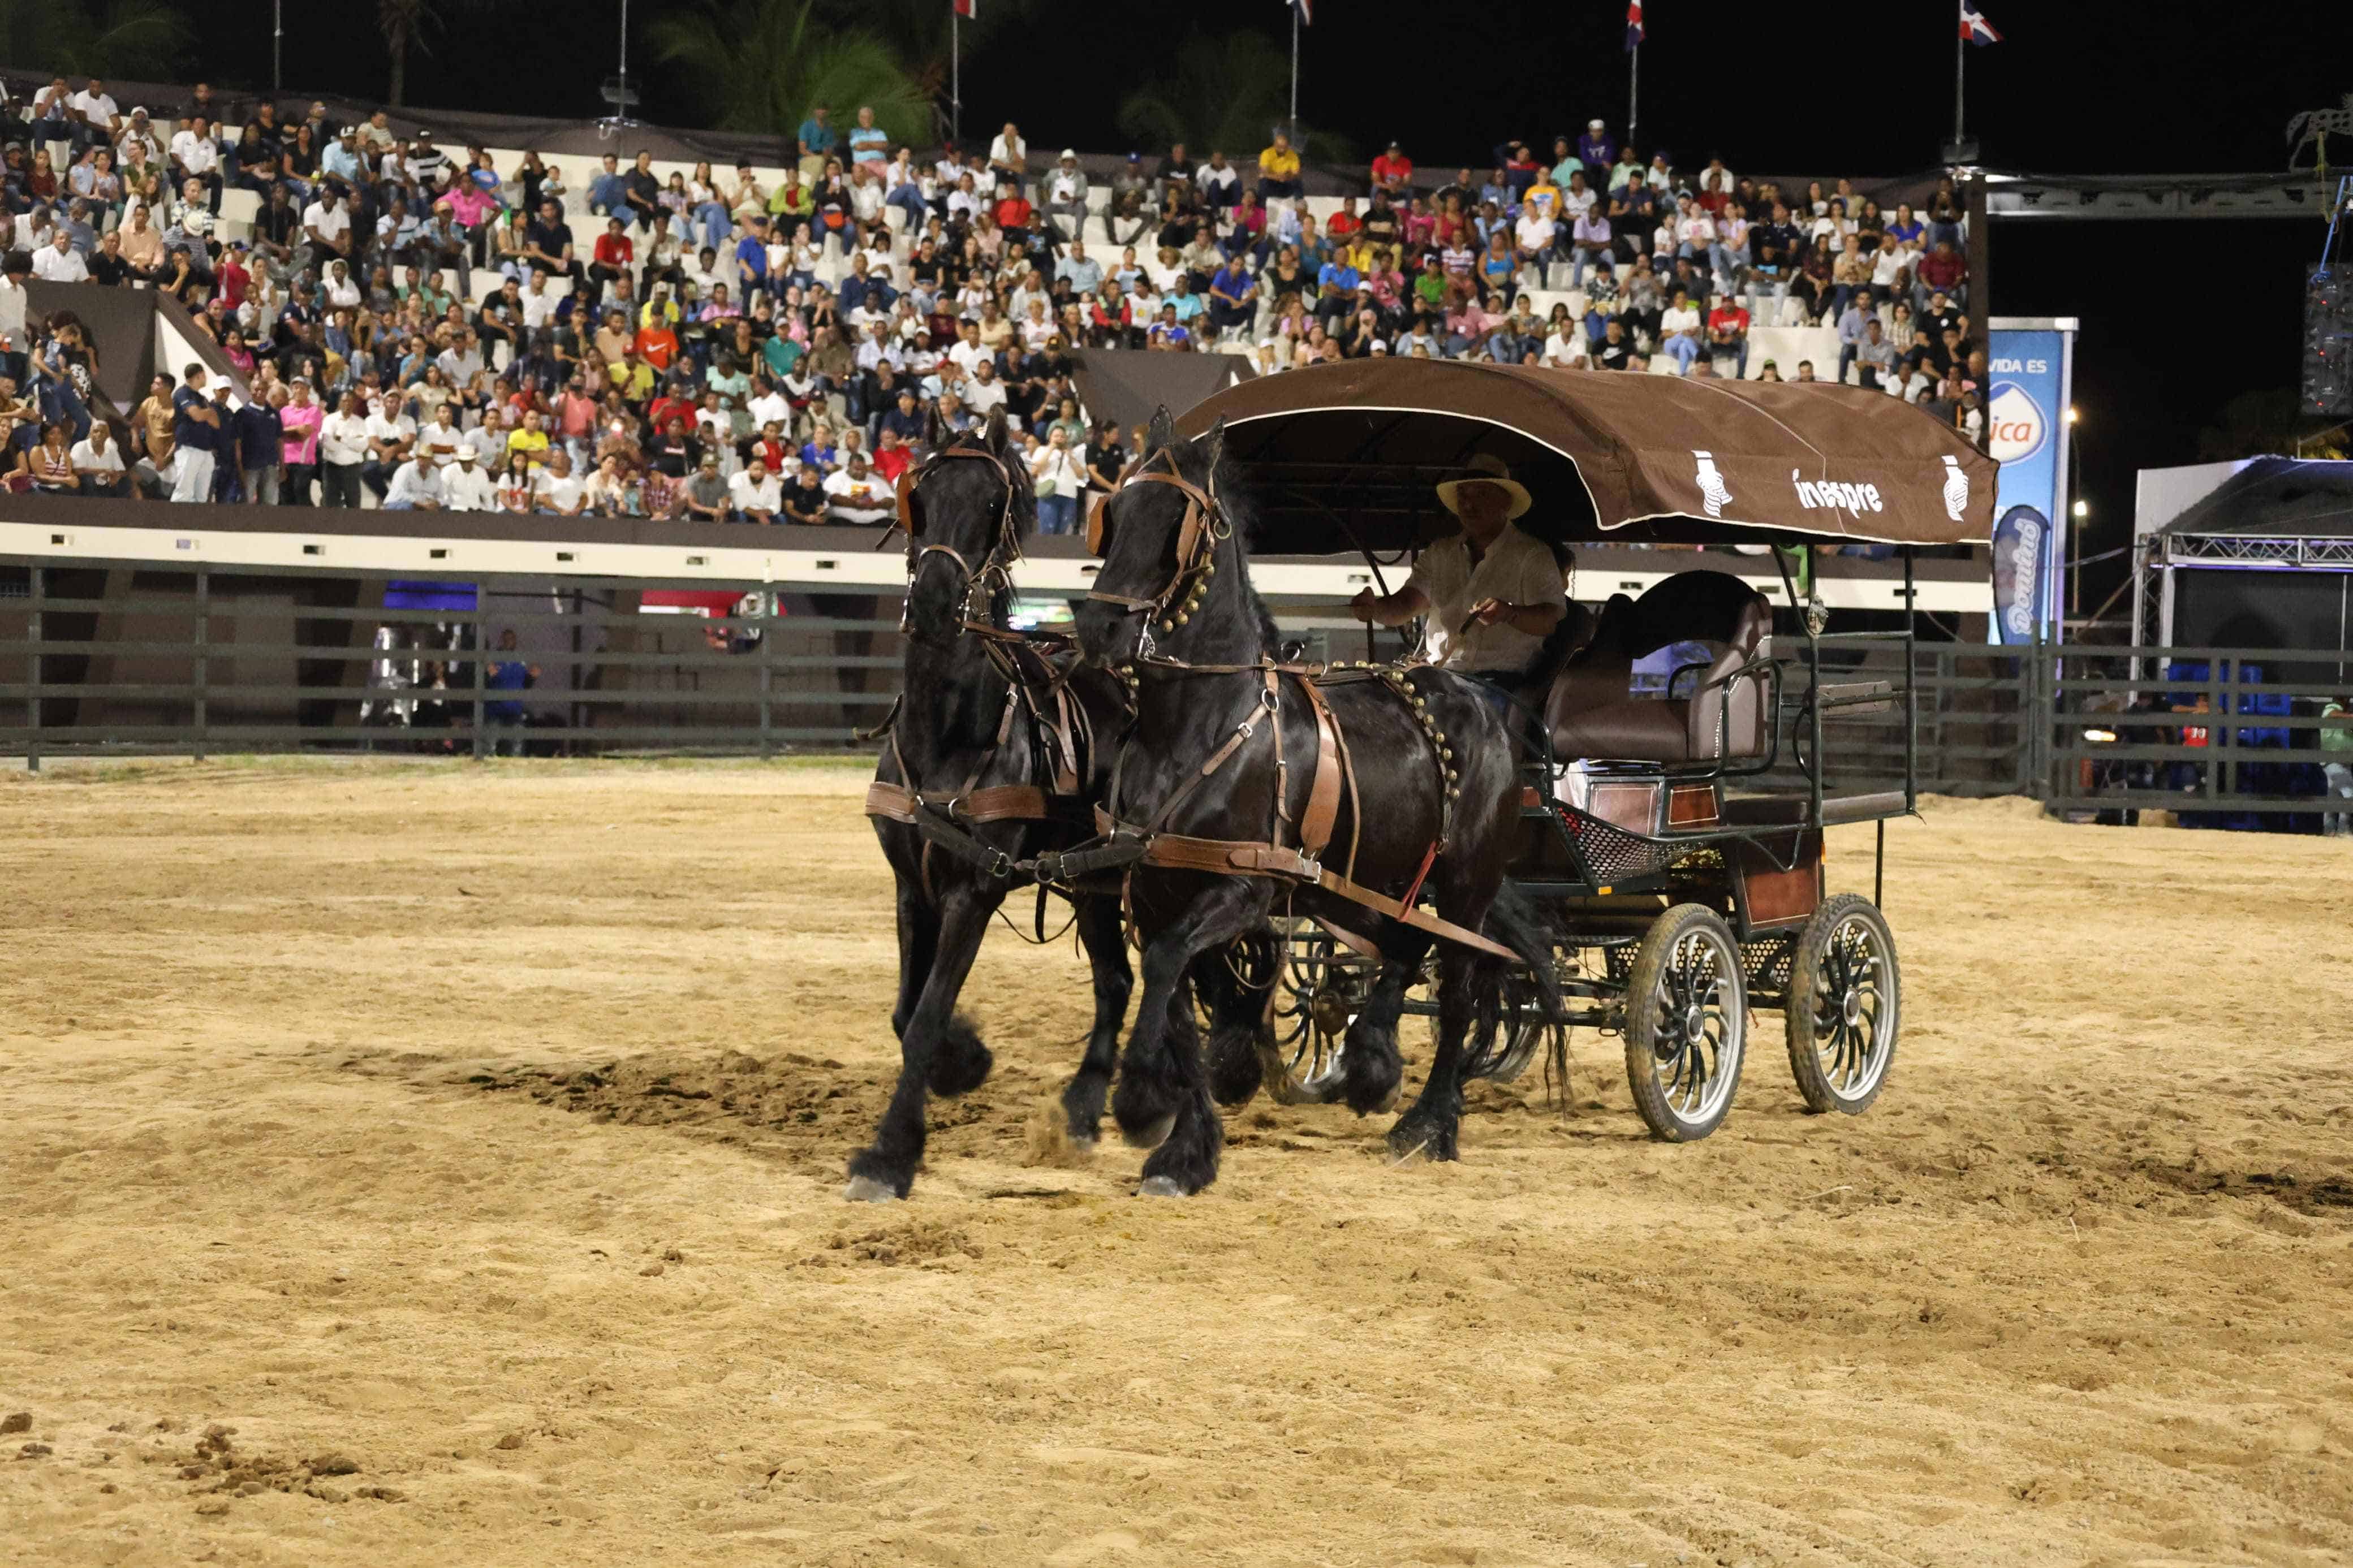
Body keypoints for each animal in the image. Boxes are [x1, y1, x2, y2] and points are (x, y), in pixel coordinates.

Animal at [856, 416, 1270, 1203]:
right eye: (918, 494)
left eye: (996, 505)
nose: (934, 602)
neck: (949, 729)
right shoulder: (907, 883)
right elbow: (902, 1010)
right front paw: (964, 1061)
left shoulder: (973, 889)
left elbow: (925, 1015)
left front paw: (888, 1155)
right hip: (1098, 886)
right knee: (1119, 982)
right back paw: (1085, 1109)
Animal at [1072, 411, 1553, 1194]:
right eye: (1114, 514)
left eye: (1176, 518)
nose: (1098, 629)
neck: (1199, 723)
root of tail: (1483, 703)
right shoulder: (1152, 891)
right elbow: (1178, 1000)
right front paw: (1185, 1150)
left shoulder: (1242, 889)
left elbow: (1171, 969)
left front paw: (1143, 1100)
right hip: (1380, 878)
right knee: (1403, 950)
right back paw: (1372, 1066)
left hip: (1465, 885)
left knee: (1456, 990)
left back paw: (1429, 1124)